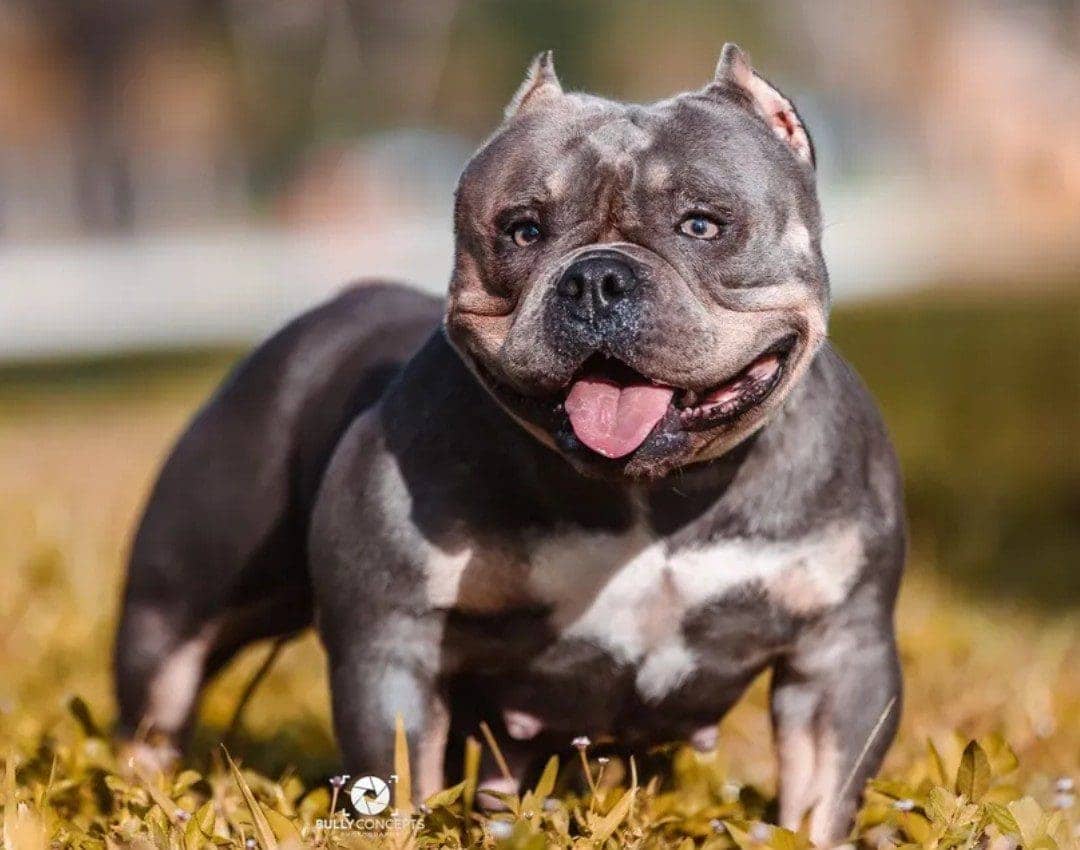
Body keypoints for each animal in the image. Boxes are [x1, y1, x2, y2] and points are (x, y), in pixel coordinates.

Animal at [116, 48, 902, 850]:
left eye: (702, 224)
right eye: (523, 230)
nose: (597, 278)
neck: (646, 495)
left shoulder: (838, 655)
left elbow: (819, 798)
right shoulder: (393, 643)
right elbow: (396, 779)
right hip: (171, 612)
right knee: (155, 712)